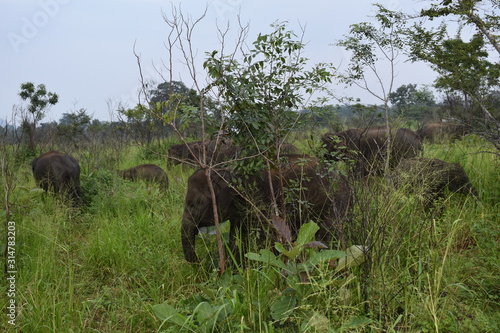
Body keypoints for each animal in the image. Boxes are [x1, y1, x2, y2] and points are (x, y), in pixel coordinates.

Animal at [182, 157, 354, 264]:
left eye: (195, 204)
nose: (200, 263)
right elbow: (238, 236)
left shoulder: (259, 200)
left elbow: (265, 236)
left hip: (334, 203)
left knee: (328, 234)